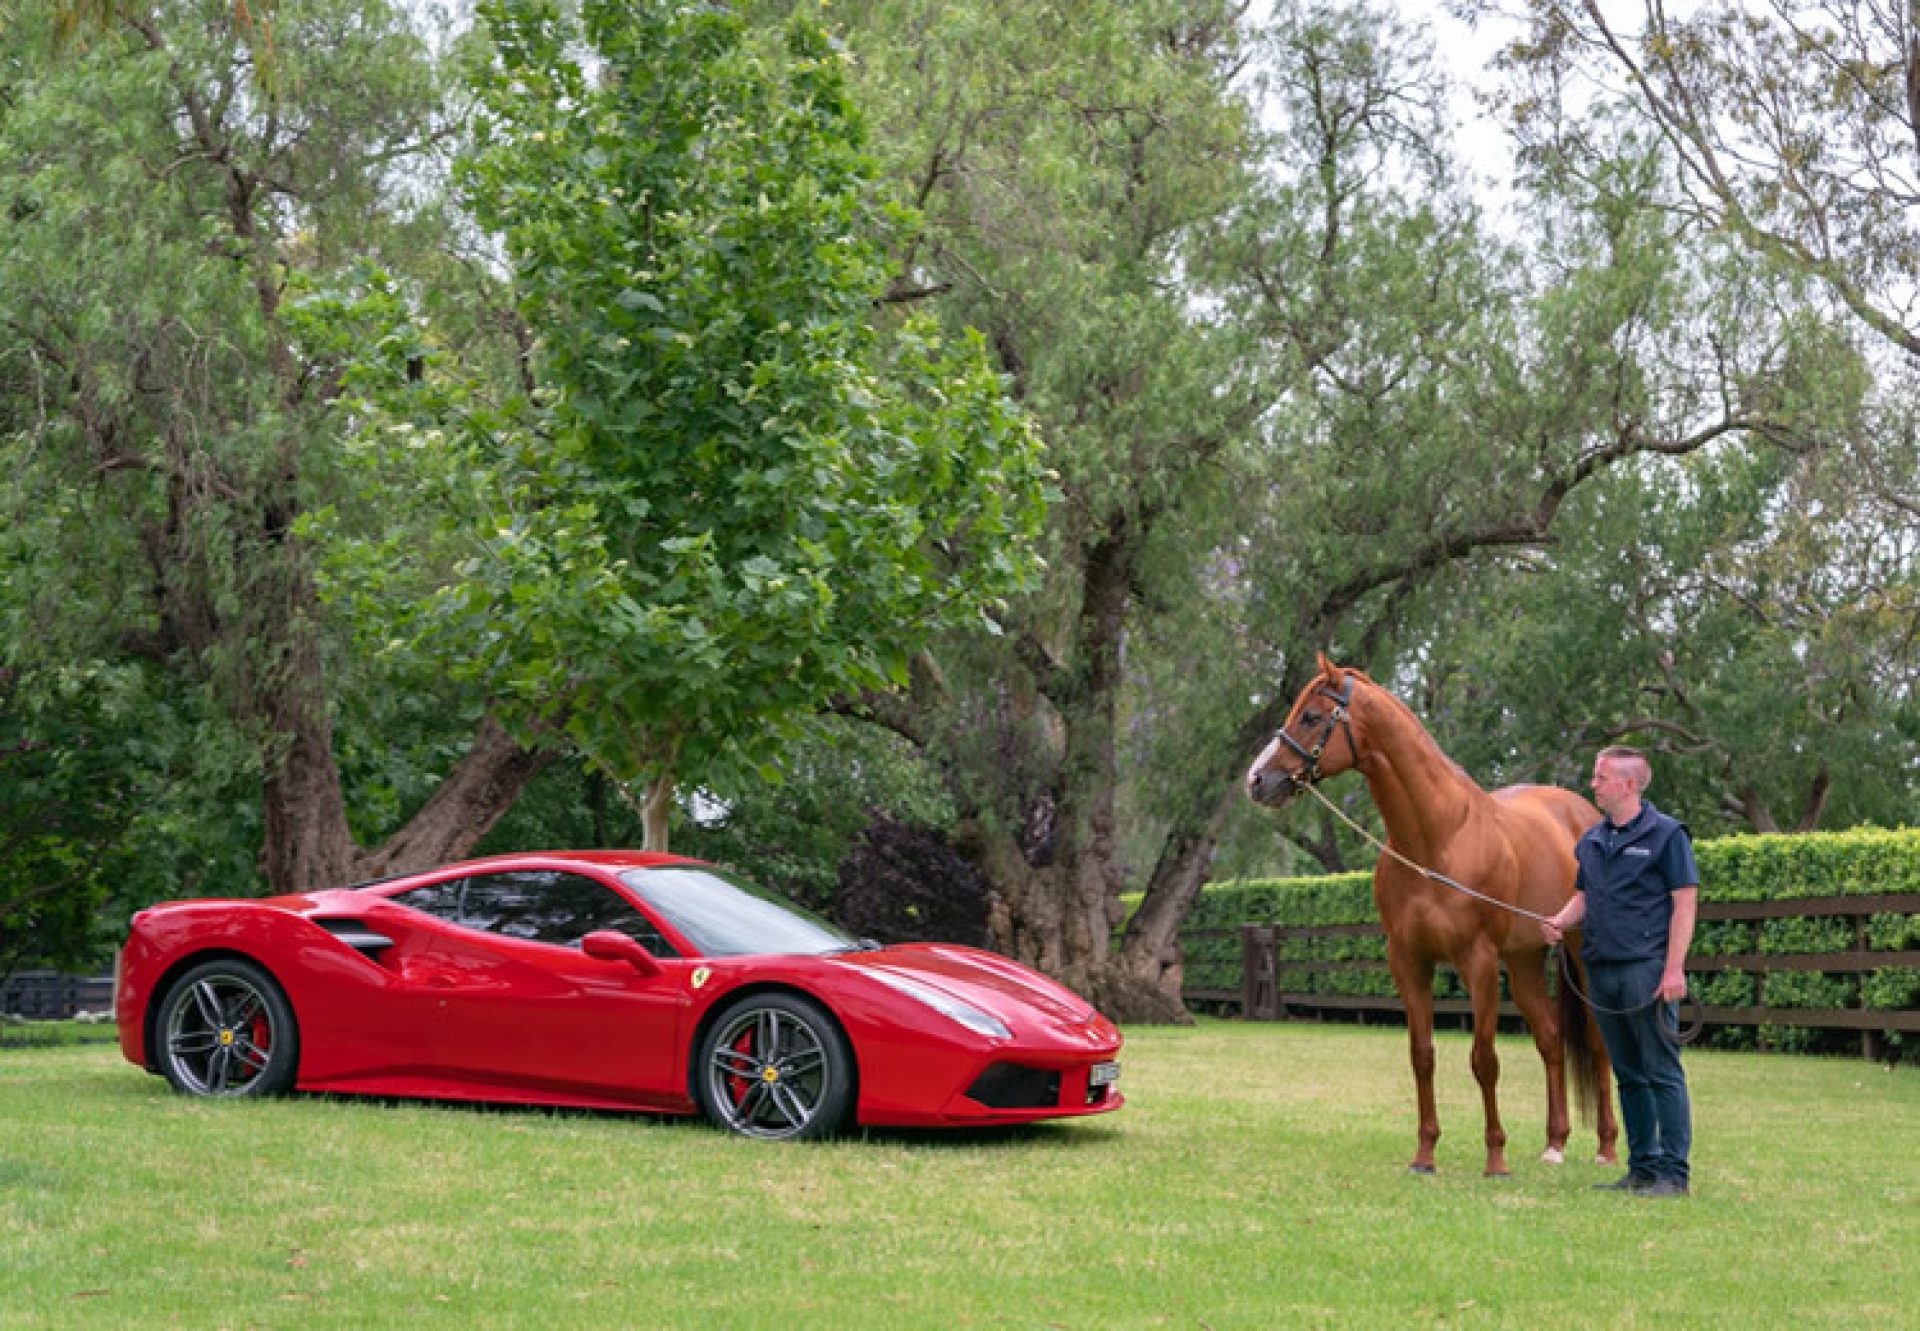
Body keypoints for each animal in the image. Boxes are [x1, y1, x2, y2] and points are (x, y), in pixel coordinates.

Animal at [1251, 653, 1612, 1175]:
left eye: (1312, 717)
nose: (1257, 780)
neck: (1436, 838)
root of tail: (1584, 813)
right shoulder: (1408, 961)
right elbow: (1422, 1056)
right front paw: (1424, 1155)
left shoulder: (1479, 962)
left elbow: (1484, 1060)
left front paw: (1495, 1158)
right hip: (1524, 959)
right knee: (1549, 1039)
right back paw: (1554, 1144)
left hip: (1581, 954)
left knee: (1601, 1043)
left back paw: (1607, 1147)